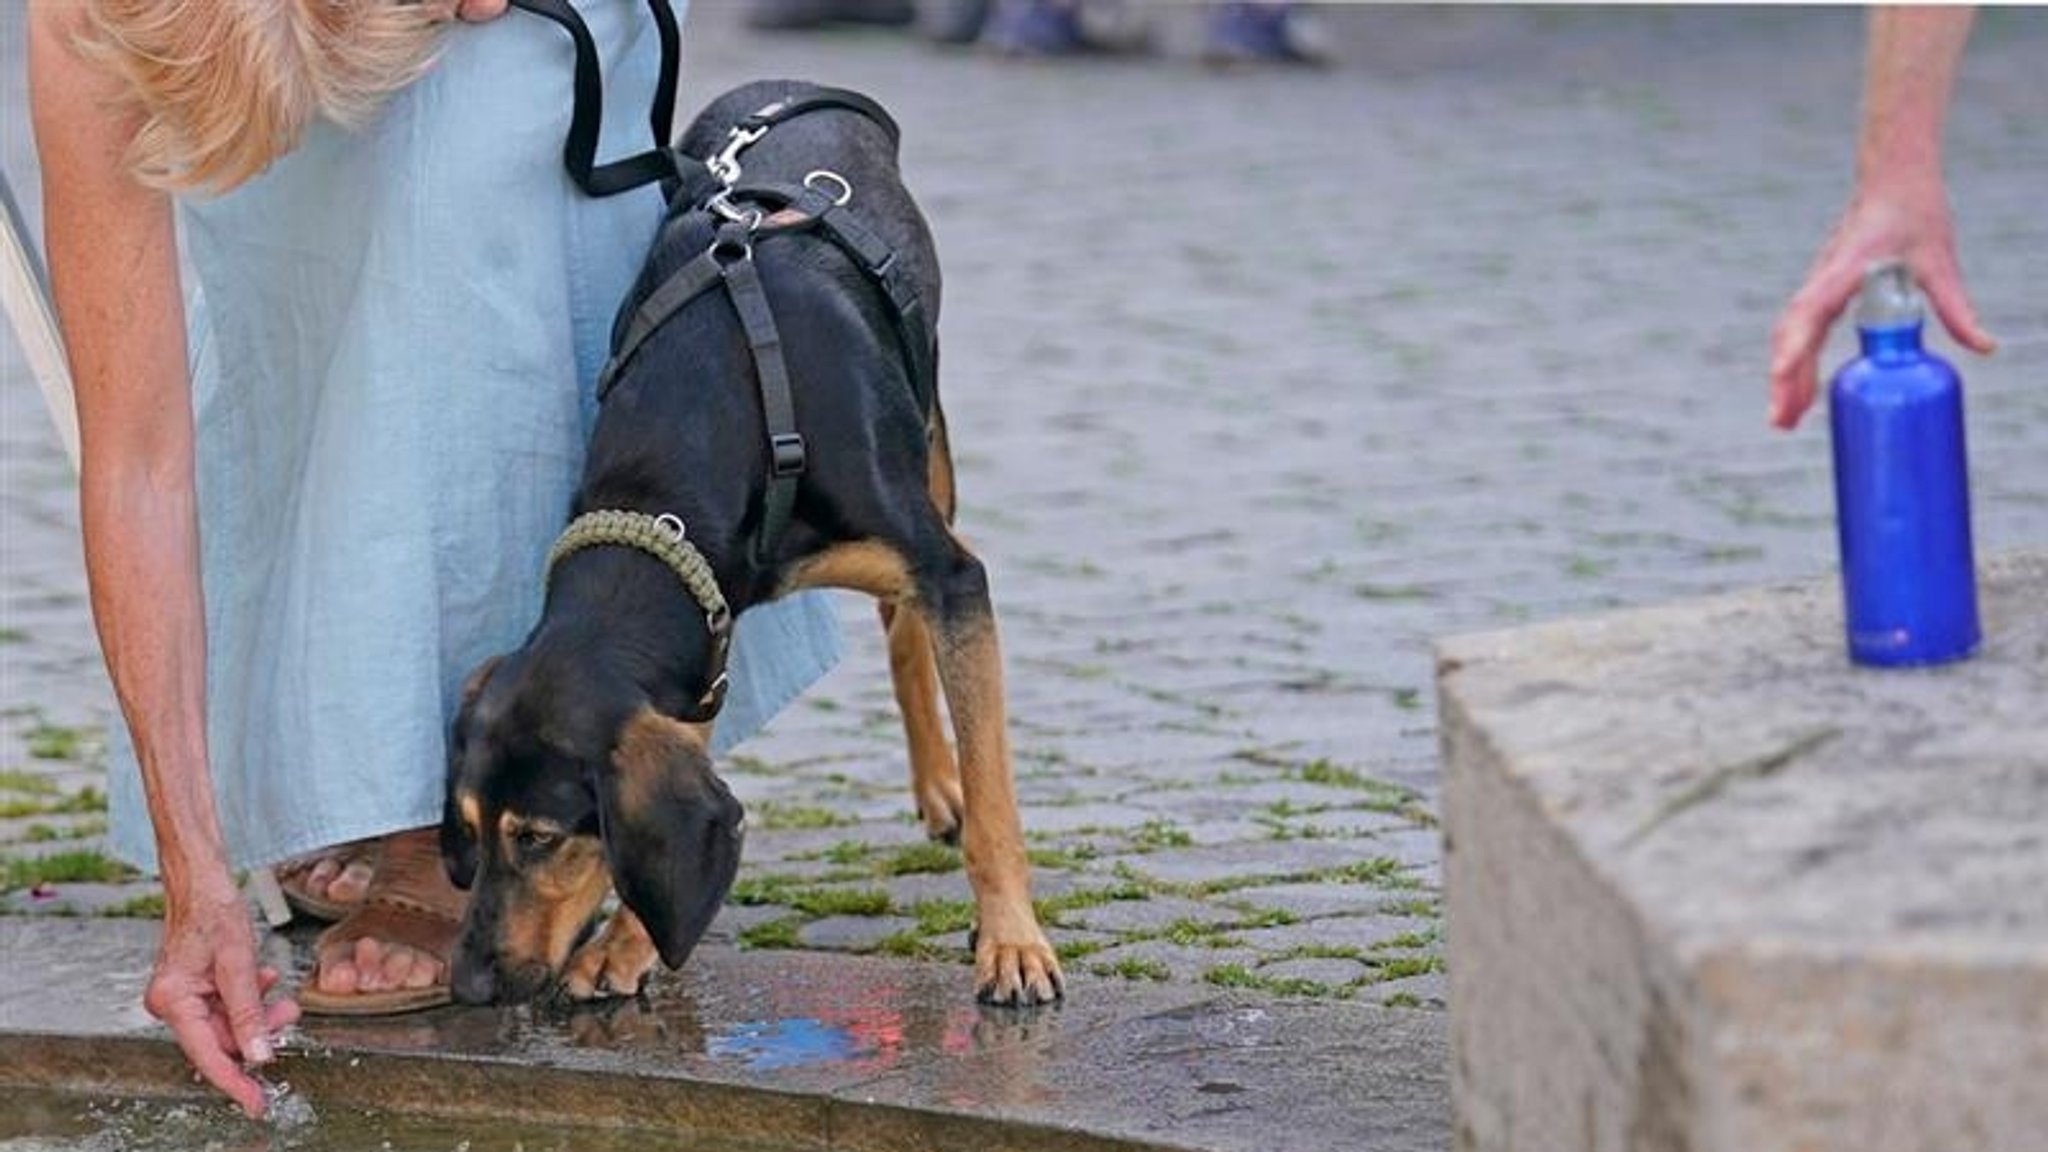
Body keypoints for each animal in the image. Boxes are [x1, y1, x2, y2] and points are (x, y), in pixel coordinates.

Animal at [442, 78, 1064, 1004]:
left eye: (540, 837)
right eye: (471, 828)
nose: (470, 989)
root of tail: (783, 87)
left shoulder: (953, 575)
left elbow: (995, 802)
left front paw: (1012, 944)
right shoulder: (703, 625)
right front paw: (625, 946)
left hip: (932, 453)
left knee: (906, 622)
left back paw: (944, 793)